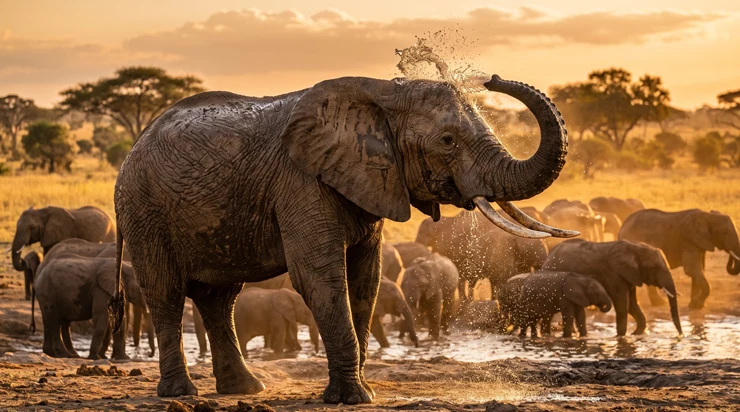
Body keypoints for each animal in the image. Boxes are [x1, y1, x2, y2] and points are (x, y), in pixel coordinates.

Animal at [543, 239, 683, 336]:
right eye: (655, 267)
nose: (681, 336)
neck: (635, 246)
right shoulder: (613, 275)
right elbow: (622, 304)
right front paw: (620, 337)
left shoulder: (631, 275)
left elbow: (631, 305)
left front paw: (636, 334)